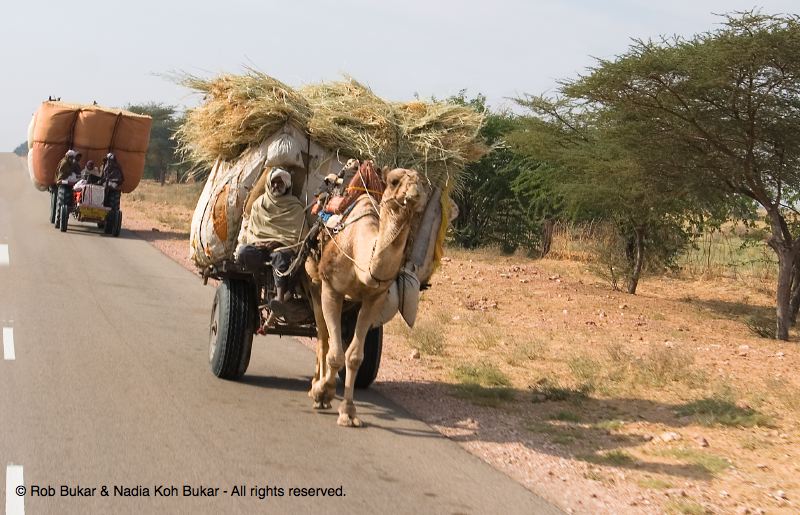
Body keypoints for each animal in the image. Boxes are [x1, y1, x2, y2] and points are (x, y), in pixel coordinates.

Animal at [305, 164, 427, 427]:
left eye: (424, 183)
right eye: (394, 181)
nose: (415, 195)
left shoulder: (374, 299)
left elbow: (353, 357)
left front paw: (348, 411)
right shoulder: (332, 288)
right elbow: (335, 353)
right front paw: (323, 392)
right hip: (314, 284)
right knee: (323, 337)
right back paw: (315, 386)